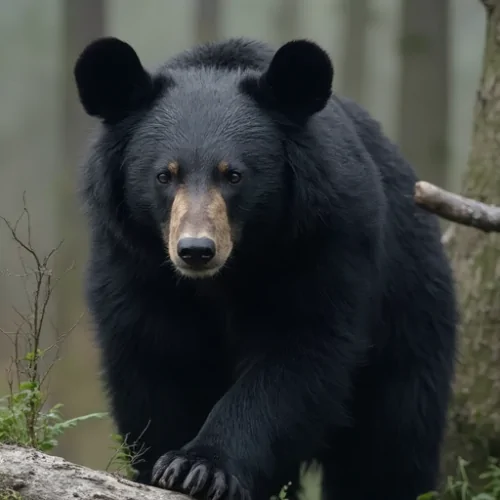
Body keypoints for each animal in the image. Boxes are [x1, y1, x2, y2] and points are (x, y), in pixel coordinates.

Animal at [73, 35, 458, 500]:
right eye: (165, 176)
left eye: (234, 175)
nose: (196, 250)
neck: (223, 277)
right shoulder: (134, 265)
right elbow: (152, 364)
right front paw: (162, 467)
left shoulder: (325, 242)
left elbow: (299, 354)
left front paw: (199, 468)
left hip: (410, 318)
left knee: (392, 441)